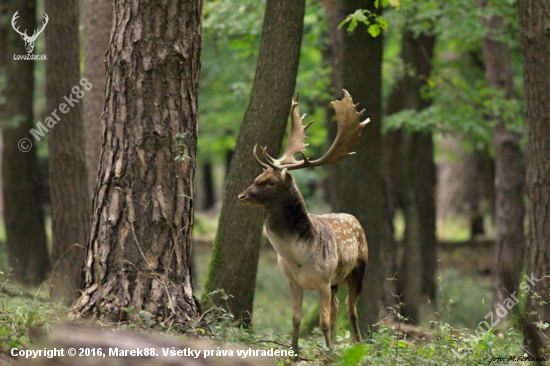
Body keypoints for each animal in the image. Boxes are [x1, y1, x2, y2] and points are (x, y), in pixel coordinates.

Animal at [238, 90, 370, 354]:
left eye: (271, 182)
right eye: (257, 176)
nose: (242, 196)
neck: (297, 258)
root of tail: (353, 218)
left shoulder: (323, 279)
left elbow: (323, 321)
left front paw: (328, 354)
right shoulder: (292, 280)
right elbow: (296, 318)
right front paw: (295, 352)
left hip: (359, 267)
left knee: (350, 307)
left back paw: (358, 343)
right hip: (336, 282)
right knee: (338, 305)